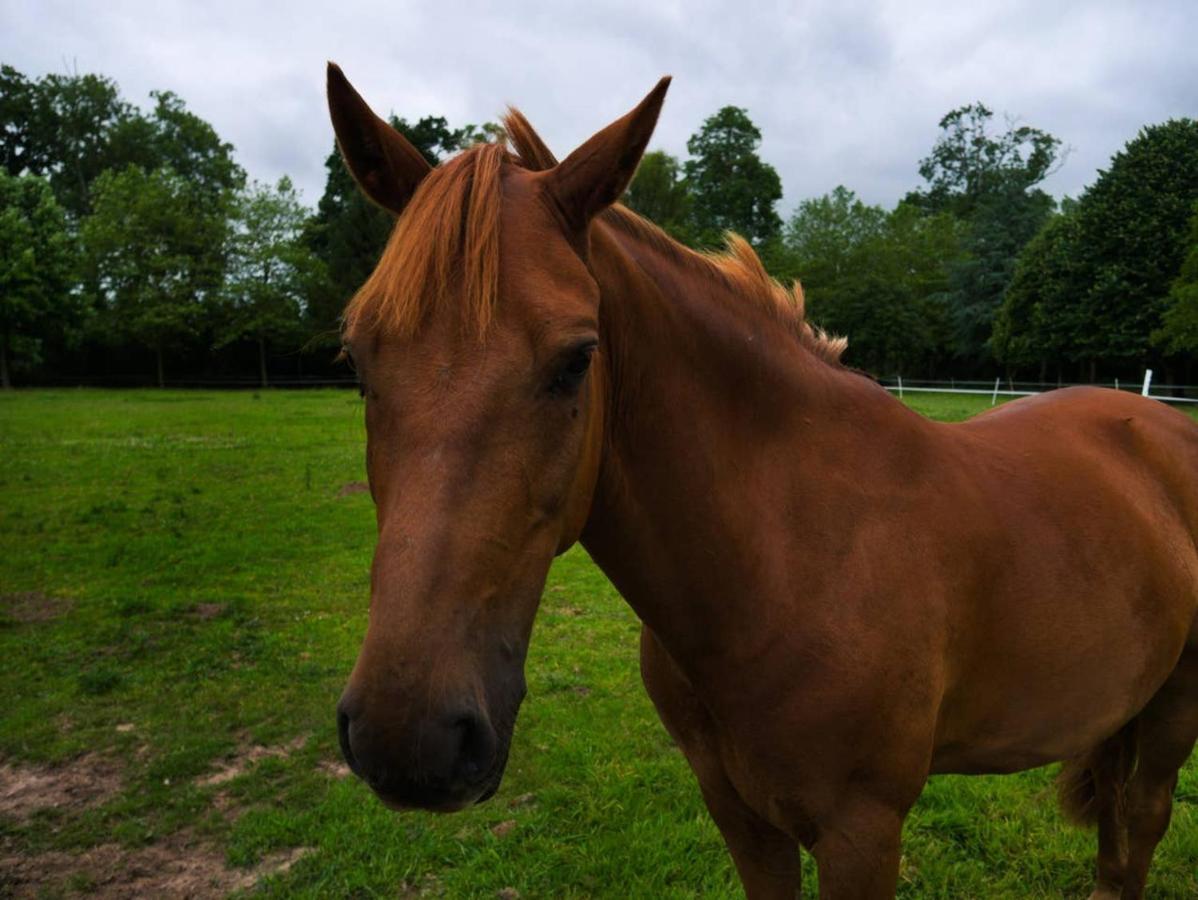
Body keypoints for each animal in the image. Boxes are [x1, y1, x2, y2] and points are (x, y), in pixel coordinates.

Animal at [328, 65, 1198, 900]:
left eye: (577, 358)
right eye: (357, 359)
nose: (409, 738)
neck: (788, 559)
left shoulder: (862, 833)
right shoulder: (739, 812)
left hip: (1169, 719)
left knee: (1138, 829)